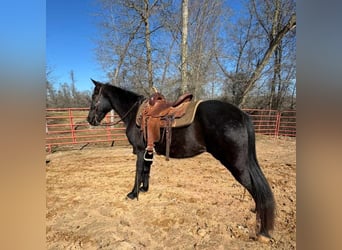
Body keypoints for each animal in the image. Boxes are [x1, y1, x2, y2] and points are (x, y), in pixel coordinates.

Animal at [87, 79, 276, 240]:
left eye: (94, 96)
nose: (90, 120)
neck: (136, 114)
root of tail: (241, 114)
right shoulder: (148, 151)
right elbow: (147, 170)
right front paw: (144, 189)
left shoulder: (140, 151)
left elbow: (139, 171)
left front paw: (133, 194)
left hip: (237, 165)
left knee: (255, 188)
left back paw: (262, 230)